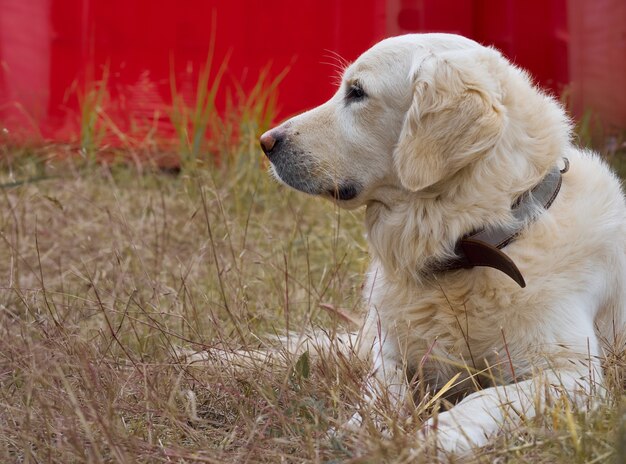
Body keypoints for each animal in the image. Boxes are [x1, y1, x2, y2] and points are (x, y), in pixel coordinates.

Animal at [256, 34, 624, 454]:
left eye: (357, 92)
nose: (266, 142)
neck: (464, 248)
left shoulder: (574, 373)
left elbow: (488, 396)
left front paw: (438, 435)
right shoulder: (390, 351)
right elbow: (382, 389)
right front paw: (361, 429)